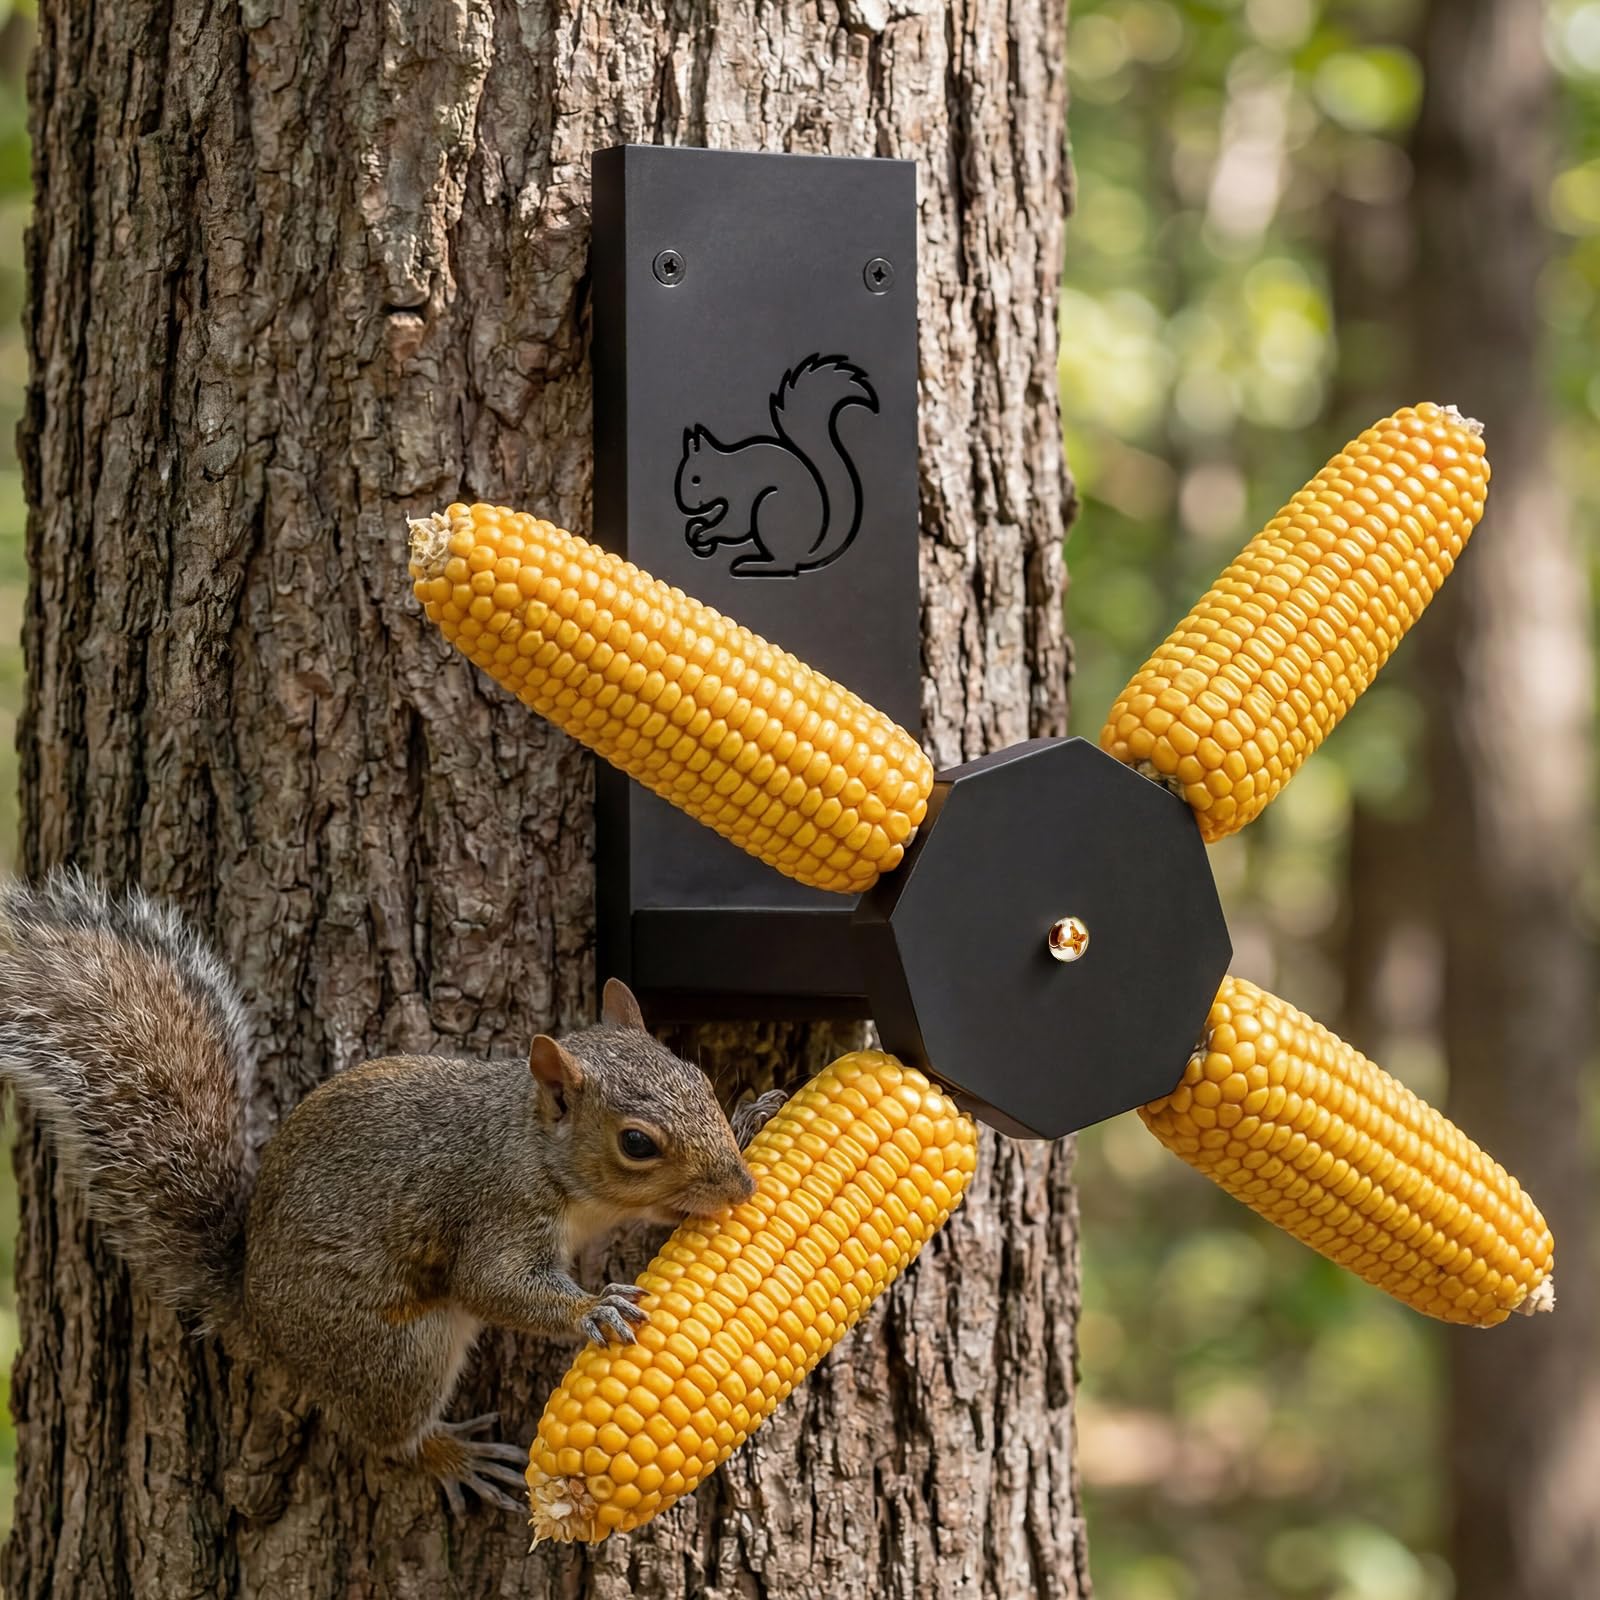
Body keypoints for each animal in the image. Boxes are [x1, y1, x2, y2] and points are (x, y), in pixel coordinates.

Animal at [0, 869, 785, 1516]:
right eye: (637, 1144)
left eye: (699, 1078)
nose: (742, 1186)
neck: (536, 1147)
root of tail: (258, 1316)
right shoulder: (495, 1208)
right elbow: (491, 1284)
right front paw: (593, 1309)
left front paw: (752, 1121)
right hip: (395, 1354)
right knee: (388, 1435)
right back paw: (452, 1456)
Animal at [674, 355, 879, 577]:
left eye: (696, 479)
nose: (686, 504)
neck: (726, 467)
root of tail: (808, 553)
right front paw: (698, 528)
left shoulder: (741, 494)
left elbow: (736, 525)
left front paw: (704, 534)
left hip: (769, 506)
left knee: (784, 564)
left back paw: (751, 564)